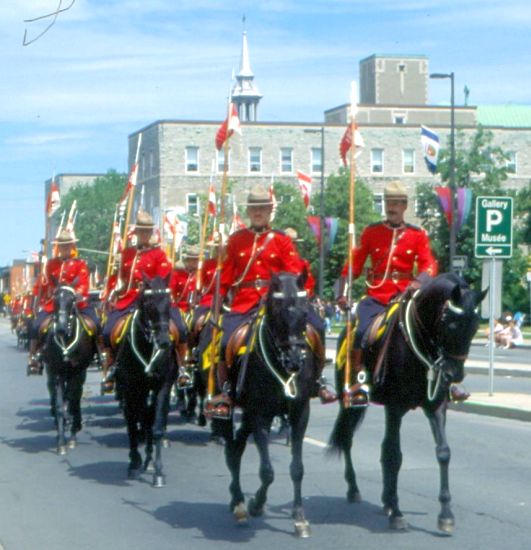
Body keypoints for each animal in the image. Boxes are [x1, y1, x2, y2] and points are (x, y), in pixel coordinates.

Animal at [41, 282, 96, 454]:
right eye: (54, 299)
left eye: (72, 300)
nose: (60, 328)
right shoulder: (56, 372)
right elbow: (60, 406)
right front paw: (61, 442)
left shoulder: (77, 372)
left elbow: (73, 402)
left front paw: (71, 436)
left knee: (75, 398)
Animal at [114, 276, 177, 488]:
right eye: (149, 304)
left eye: (169, 303)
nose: (164, 342)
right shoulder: (132, 389)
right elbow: (133, 423)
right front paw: (134, 462)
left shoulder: (162, 387)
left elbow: (155, 427)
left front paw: (158, 471)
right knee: (133, 419)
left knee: (147, 420)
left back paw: (148, 459)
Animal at [217, 274, 318, 540]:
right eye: (276, 311)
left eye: (305, 312)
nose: (294, 361)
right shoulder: (260, 415)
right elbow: (267, 472)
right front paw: (256, 503)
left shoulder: (300, 413)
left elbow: (297, 468)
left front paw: (299, 518)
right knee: (231, 453)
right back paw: (239, 502)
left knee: (237, 449)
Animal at [330, 274, 488, 536]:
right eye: (451, 325)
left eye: (475, 326)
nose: (454, 375)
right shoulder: (395, 407)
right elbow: (394, 456)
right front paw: (397, 514)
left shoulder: (436, 406)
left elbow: (443, 452)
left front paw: (446, 514)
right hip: (351, 403)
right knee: (348, 439)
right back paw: (354, 489)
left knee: (380, 447)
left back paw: (385, 500)